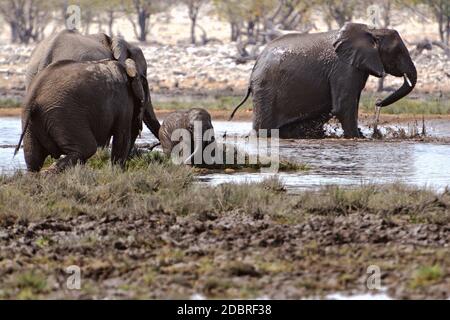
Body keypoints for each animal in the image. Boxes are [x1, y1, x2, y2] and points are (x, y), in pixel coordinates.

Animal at [15, 57, 151, 172]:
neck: (127, 67)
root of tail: (34, 94)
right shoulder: (124, 100)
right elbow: (122, 138)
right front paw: (116, 173)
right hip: (65, 115)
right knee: (87, 148)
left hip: (32, 120)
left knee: (33, 158)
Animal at [230, 22, 416, 138]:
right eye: (398, 52)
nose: (378, 102)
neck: (372, 30)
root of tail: (255, 65)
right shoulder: (343, 68)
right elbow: (343, 107)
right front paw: (357, 137)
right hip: (266, 90)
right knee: (264, 128)